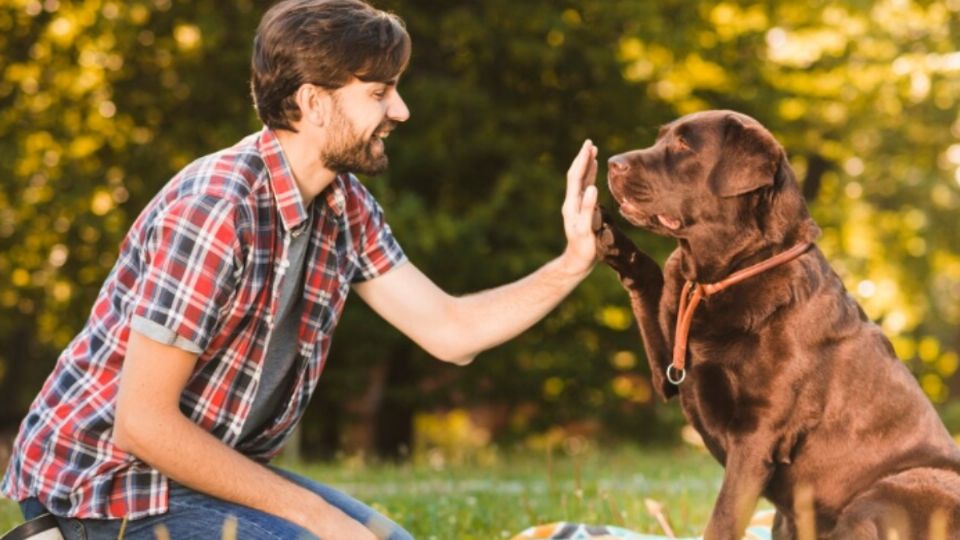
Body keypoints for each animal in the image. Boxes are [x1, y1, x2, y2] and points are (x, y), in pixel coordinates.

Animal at [596, 107, 960, 536]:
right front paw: (613, 241)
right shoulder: (669, 370)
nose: (612, 162)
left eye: (684, 145)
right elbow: (652, 278)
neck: (726, 275)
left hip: (888, 490)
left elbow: (721, 521)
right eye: (660, 138)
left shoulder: (758, 434)